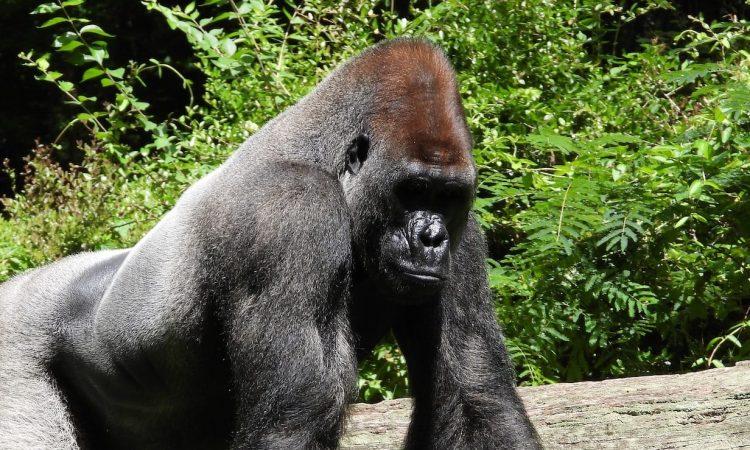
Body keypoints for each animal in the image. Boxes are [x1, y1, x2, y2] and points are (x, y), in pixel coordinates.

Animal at [0, 38, 541, 449]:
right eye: (411, 190)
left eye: (446, 196)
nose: (431, 238)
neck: (329, 164)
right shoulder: (292, 212)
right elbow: (296, 416)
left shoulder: (463, 238)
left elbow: (476, 397)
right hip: (15, 340)